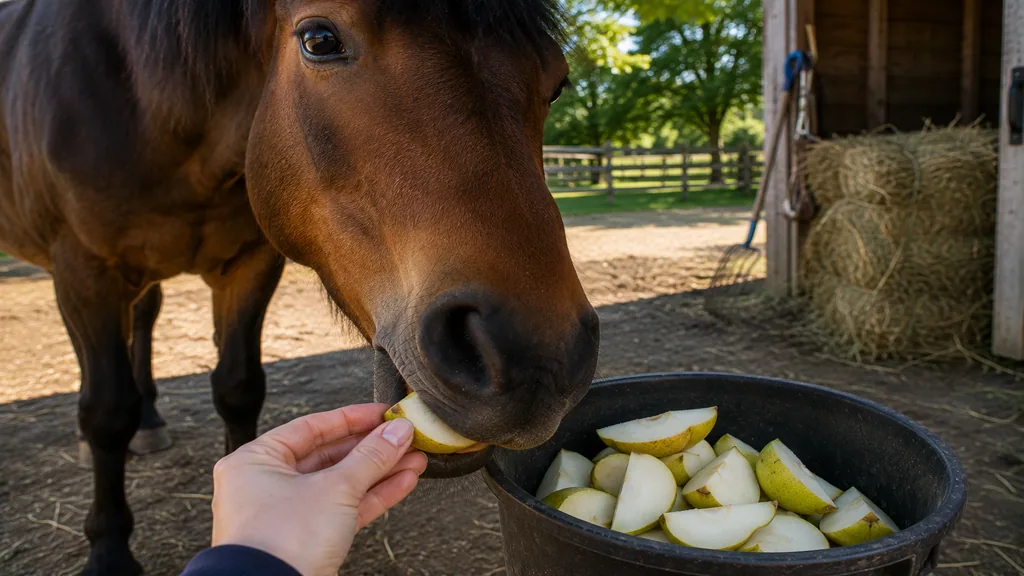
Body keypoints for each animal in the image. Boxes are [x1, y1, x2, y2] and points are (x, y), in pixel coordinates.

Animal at [0, 0, 600, 573]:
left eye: (558, 81)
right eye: (319, 40)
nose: (539, 363)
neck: (151, 103)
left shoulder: (249, 265)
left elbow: (238, 387)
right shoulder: (86, 273)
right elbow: (106, 413)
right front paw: (108, 552)